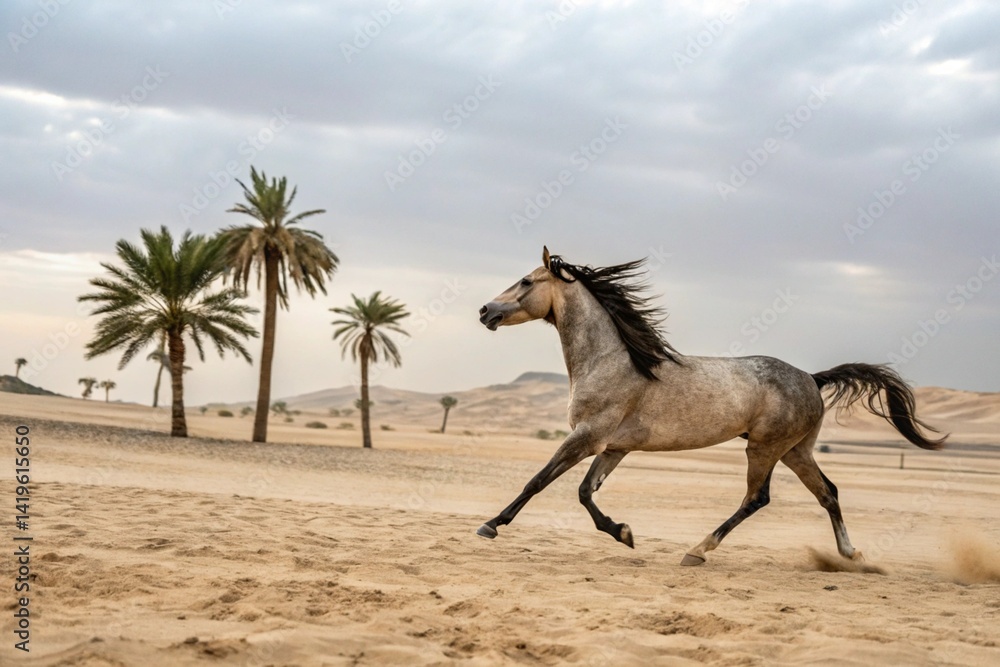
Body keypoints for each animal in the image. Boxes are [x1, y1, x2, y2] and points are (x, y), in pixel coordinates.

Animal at [476, 247, 945, 565]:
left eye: (526, 281)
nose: (484, 310)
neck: (611, 361)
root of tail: (812, 379)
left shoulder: (587, 437)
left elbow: (538, 481)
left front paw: (490, 525)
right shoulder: (613, 447)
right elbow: (585, 492)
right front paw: (624, 533)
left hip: (763, 449)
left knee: (757, 498)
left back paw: (698, 550)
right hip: (796, 450)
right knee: (827, 493)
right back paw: (851, 554)